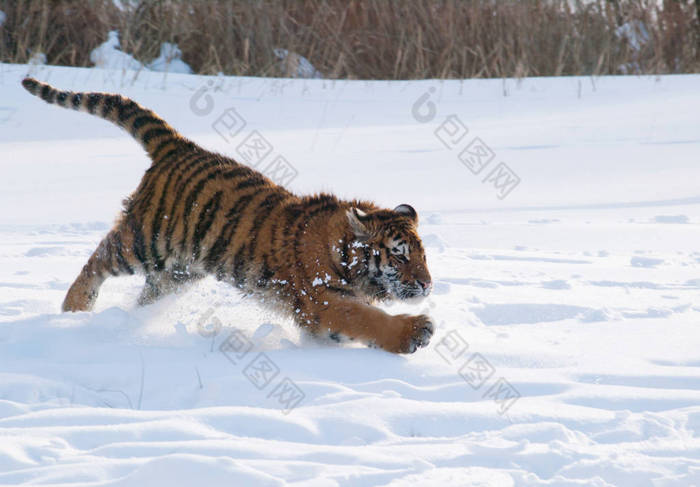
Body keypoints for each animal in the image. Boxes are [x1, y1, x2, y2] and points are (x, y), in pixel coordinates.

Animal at [21, 79, 434, 354]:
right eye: (399, 256)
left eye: (423, 255)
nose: (428, 285)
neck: (349, 258)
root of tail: (178, 145)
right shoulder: (324, 301)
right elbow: (368, 319)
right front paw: (416, 332)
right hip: (144, 240)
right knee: (98, 259)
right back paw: (75, 308)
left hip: (179, 270)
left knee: (144, 295)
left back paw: (129, 324)